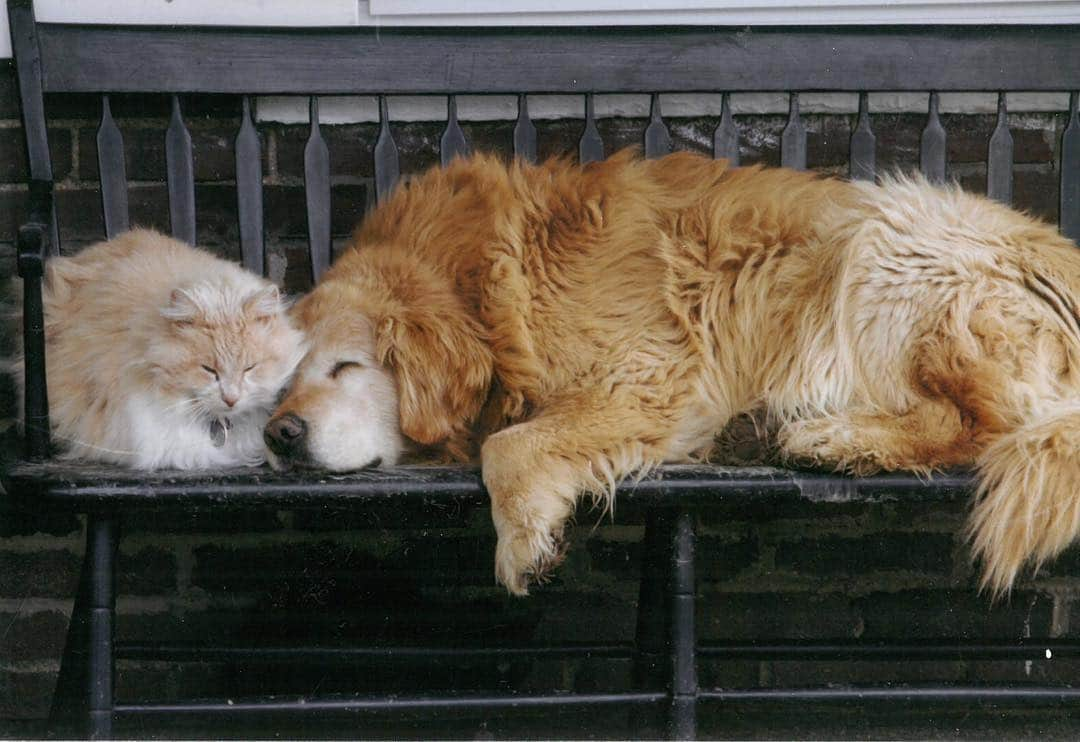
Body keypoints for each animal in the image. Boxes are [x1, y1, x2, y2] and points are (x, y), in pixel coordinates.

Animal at [263, 149, 1080, 596]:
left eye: (347, 366)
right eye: (285, 377)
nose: (279, 435)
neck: (481, 285)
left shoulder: (646, 377)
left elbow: (509, 446)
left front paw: (522, 539)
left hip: (887, 241)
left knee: (978, 423)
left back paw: (836, 439)